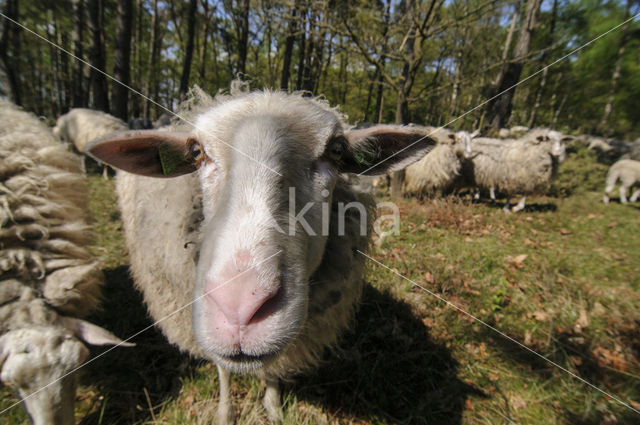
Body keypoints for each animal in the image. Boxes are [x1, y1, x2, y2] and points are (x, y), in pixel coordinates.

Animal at [87, 86, 438, 420]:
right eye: (197, 152)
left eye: (336, 151)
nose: (239, 308)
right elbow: (222, 368)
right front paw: (225, 412)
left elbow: (273, 370)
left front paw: (272, 407)